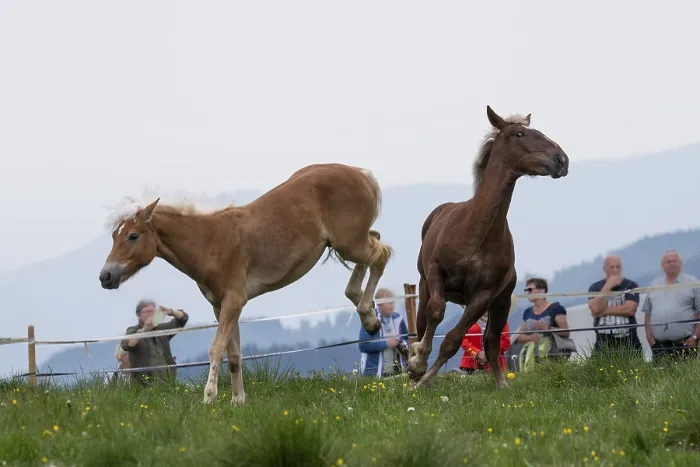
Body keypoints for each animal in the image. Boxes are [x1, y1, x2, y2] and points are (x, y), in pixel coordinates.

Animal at [98, 163, 393, 404]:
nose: (105, 277)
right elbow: (234, 354)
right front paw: (238, 400)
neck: (210, 242)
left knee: (381, 254)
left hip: (349, 243)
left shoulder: (233, 301)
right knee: (377, 241)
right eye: (115, 235)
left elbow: (216, 349)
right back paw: (367, 314)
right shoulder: (221, 307)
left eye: (133, 236)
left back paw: (367, 314)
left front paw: (209, 397)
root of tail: (361, 174)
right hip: (350, 243)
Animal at [407, 105, 569, 389]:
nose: (561, 159)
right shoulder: (436, 273)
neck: (476, 232)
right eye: (519, 134)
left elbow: (454, 340)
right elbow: (436, 313)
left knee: (491, 341)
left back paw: (501, 384)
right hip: (424, 284)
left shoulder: (484, 296)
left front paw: (426, 378)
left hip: (500, 303)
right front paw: (418, 366)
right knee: (423, 321)